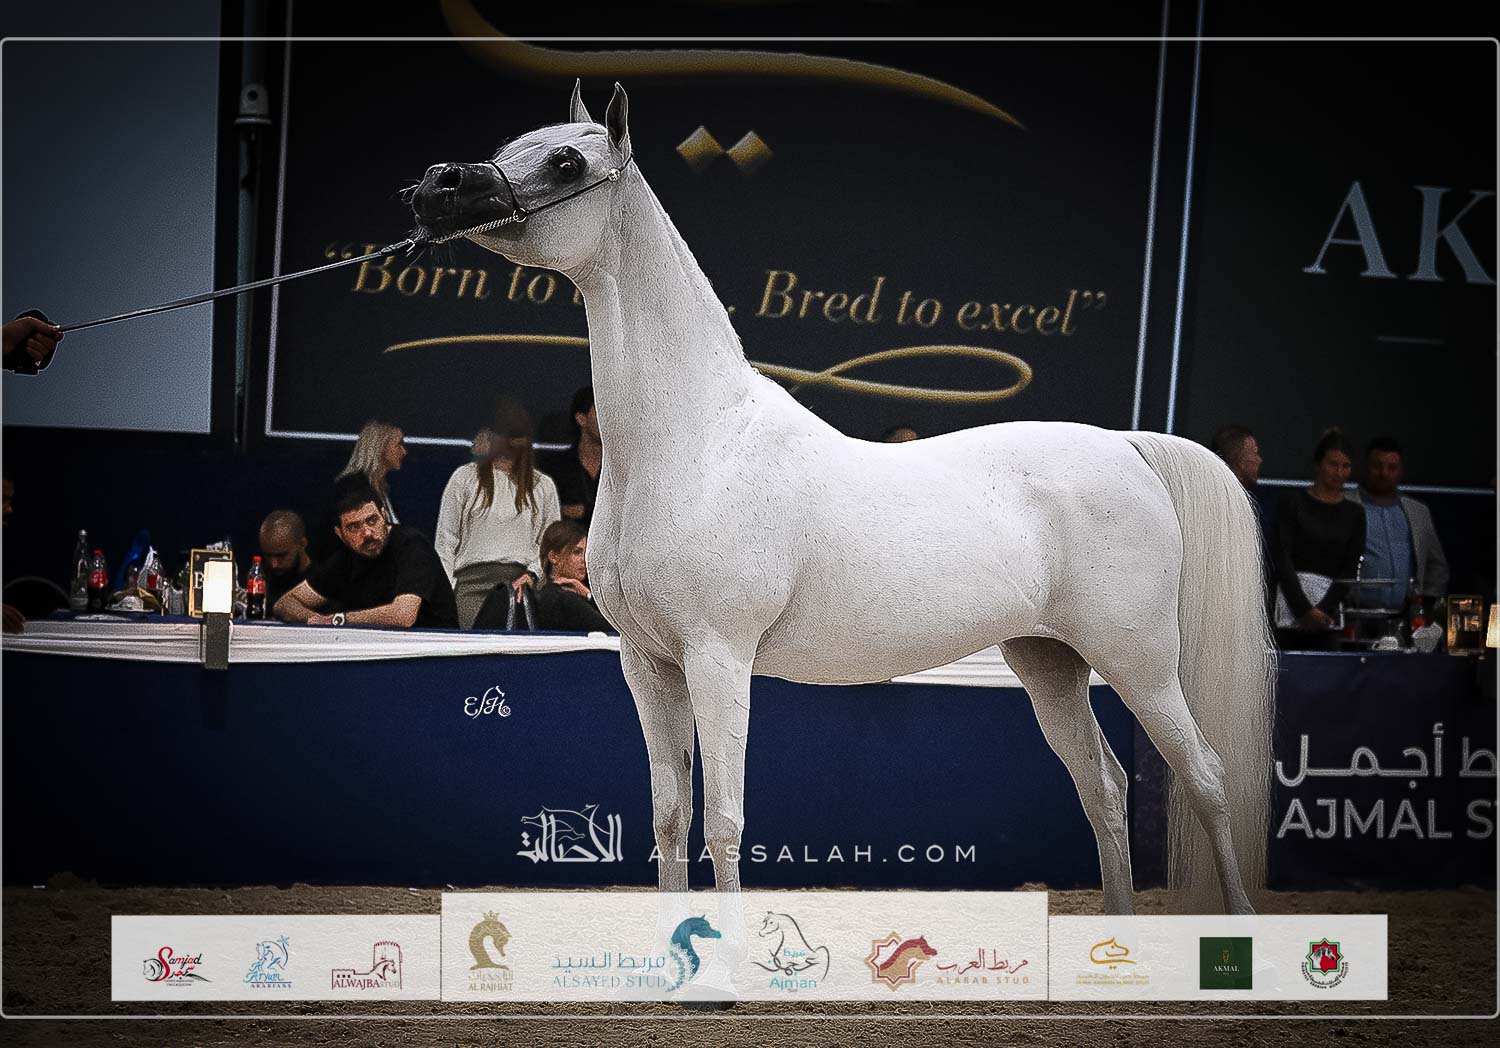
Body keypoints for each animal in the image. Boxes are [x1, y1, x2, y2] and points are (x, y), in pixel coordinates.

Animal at [409, 81, 1273, 924]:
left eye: (564, 161)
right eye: (513, 145)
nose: (436, 186)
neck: (695, 441)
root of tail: (1126, 445)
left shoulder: (719, 657)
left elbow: (725, 820)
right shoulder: (648, 665)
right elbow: (670, 818)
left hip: (1142, 663)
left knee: (1203, 775)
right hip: (1049, 661)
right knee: (1105, 788)